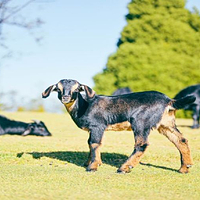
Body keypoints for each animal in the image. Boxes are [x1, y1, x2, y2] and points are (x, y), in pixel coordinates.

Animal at [41, 79, 195, 173]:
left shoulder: (97, 125)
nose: (65, 97)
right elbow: (92, 143)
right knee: (180, 140)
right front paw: (90, 162)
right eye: (58, 89)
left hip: (141, 121)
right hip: (166, 124)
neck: (84, 106)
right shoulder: (95, 129)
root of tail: (169, 100)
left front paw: (92, 166)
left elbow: (94, 143)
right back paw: (184, 168)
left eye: (77, 89)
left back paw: (124, 168)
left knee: (141, 144)